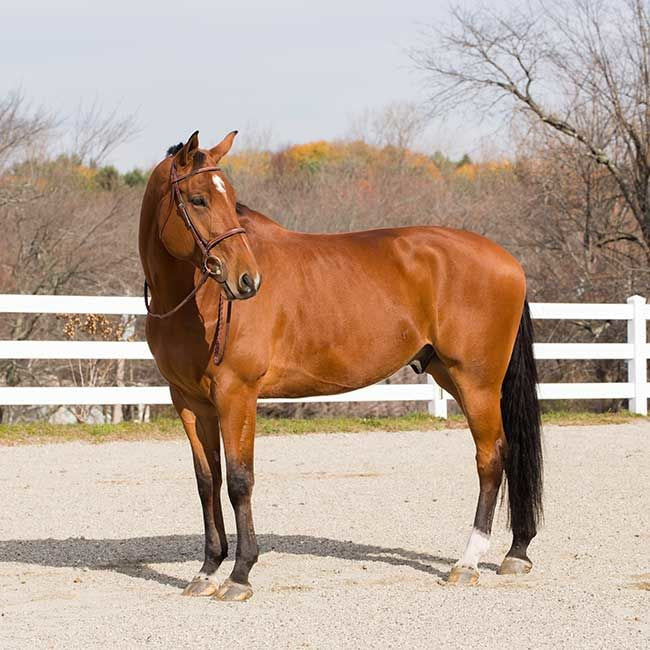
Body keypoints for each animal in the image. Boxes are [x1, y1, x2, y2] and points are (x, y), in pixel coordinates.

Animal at [138, 129, 540, 600]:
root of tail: (509, 260)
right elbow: (208, 482)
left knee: (491, 457)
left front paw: (240, 574)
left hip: (476, 381)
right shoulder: (189, 402)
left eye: (232, 199)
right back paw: (516, 552)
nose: (247, 280)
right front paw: (206, 571)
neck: (194, 302)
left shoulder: (237, 394)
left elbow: (239, 480)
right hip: (451, 373)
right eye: (198, 199)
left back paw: (468, 562)